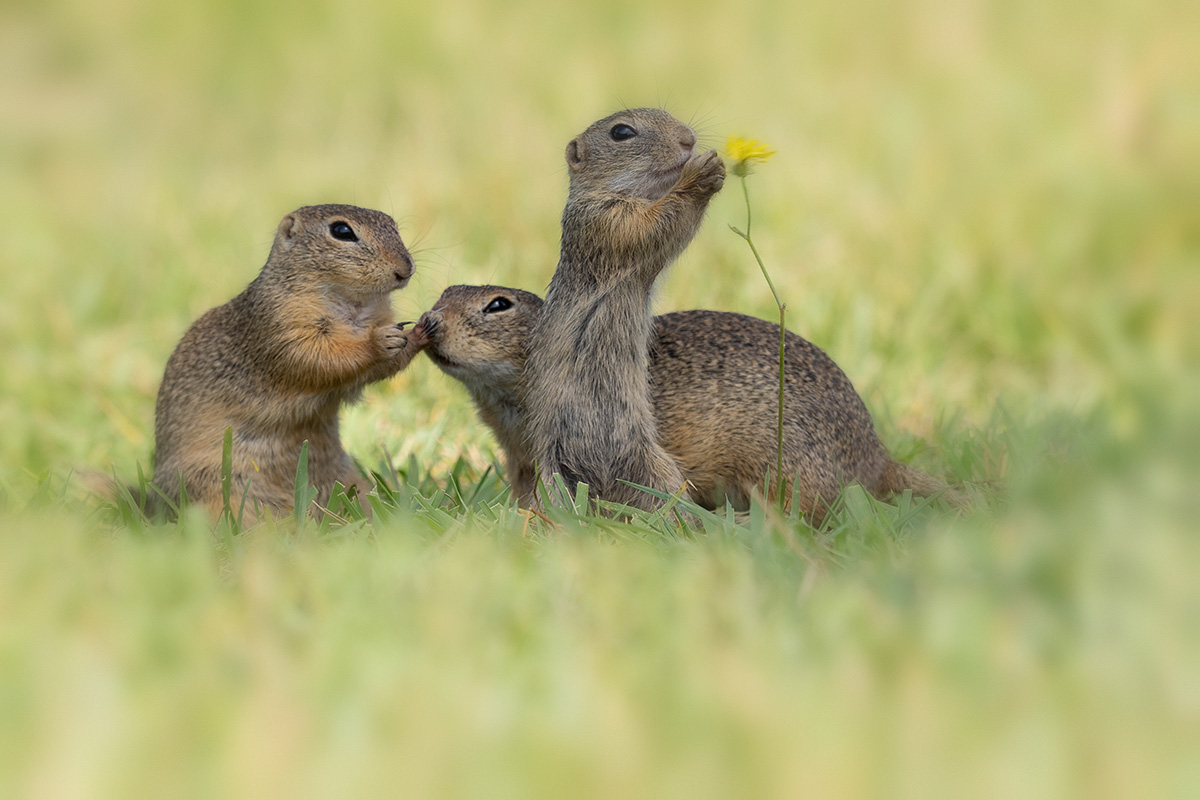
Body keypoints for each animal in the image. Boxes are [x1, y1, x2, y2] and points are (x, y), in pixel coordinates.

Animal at [153, 203, 427, 522]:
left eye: (392, 224)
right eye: (341, 231)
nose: (405, 269)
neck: (354, 305)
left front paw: (420, 332)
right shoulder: (284, 327)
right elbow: (323, 357)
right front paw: (379, 341)